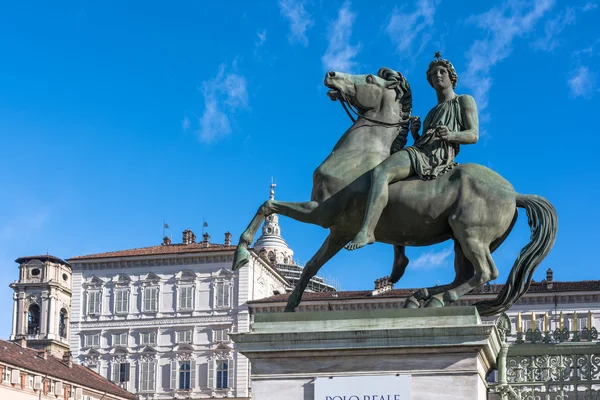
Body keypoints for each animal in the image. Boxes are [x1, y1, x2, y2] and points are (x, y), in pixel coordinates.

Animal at [231, 67, 556, 316]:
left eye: (368, 78)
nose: (330, 74)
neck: (358, 153)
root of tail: (514, 194)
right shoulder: (338, 230)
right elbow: (311, 265)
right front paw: (290, 306)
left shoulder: (322, 213)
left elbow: (268, 205)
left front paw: (241, 253)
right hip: (460, 239)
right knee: (465, 274)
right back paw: (420, 295)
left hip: (470, 234)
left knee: (487, 273)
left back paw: (436, 298)